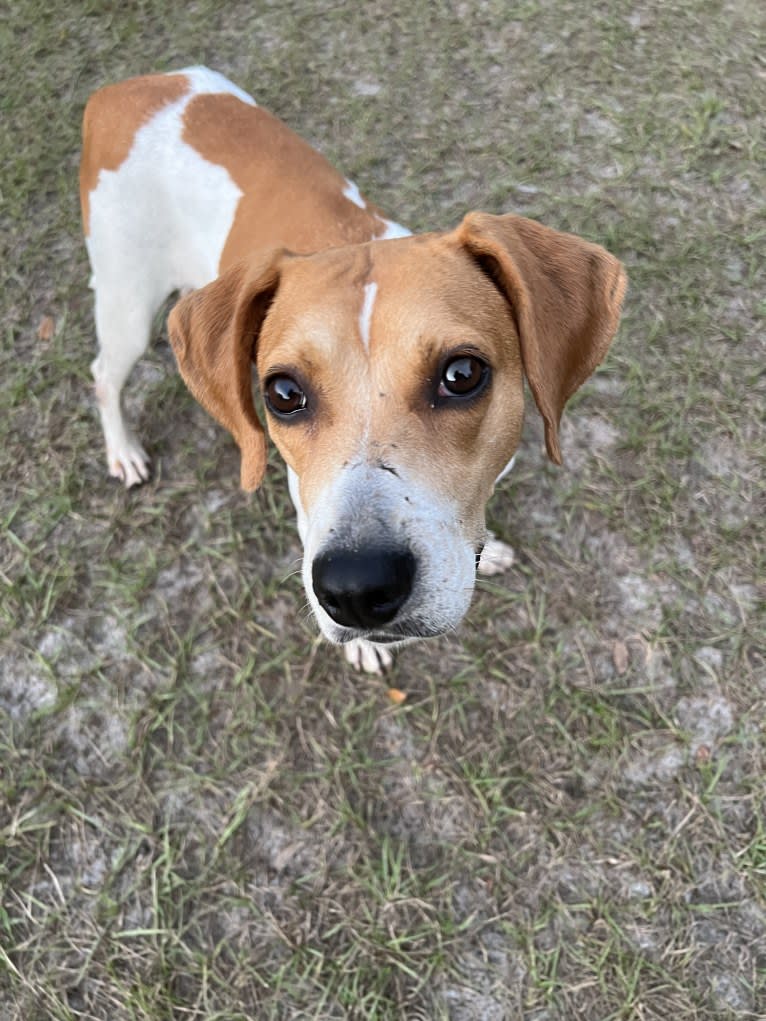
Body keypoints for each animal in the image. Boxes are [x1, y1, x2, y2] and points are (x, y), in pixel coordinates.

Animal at [79, 71, 629, 673]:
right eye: (283, 393)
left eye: (461, 374)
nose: (356, 589)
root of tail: (125, 87)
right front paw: (364, 647)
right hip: (128, 304)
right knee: (104, 374)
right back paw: (123, 451)